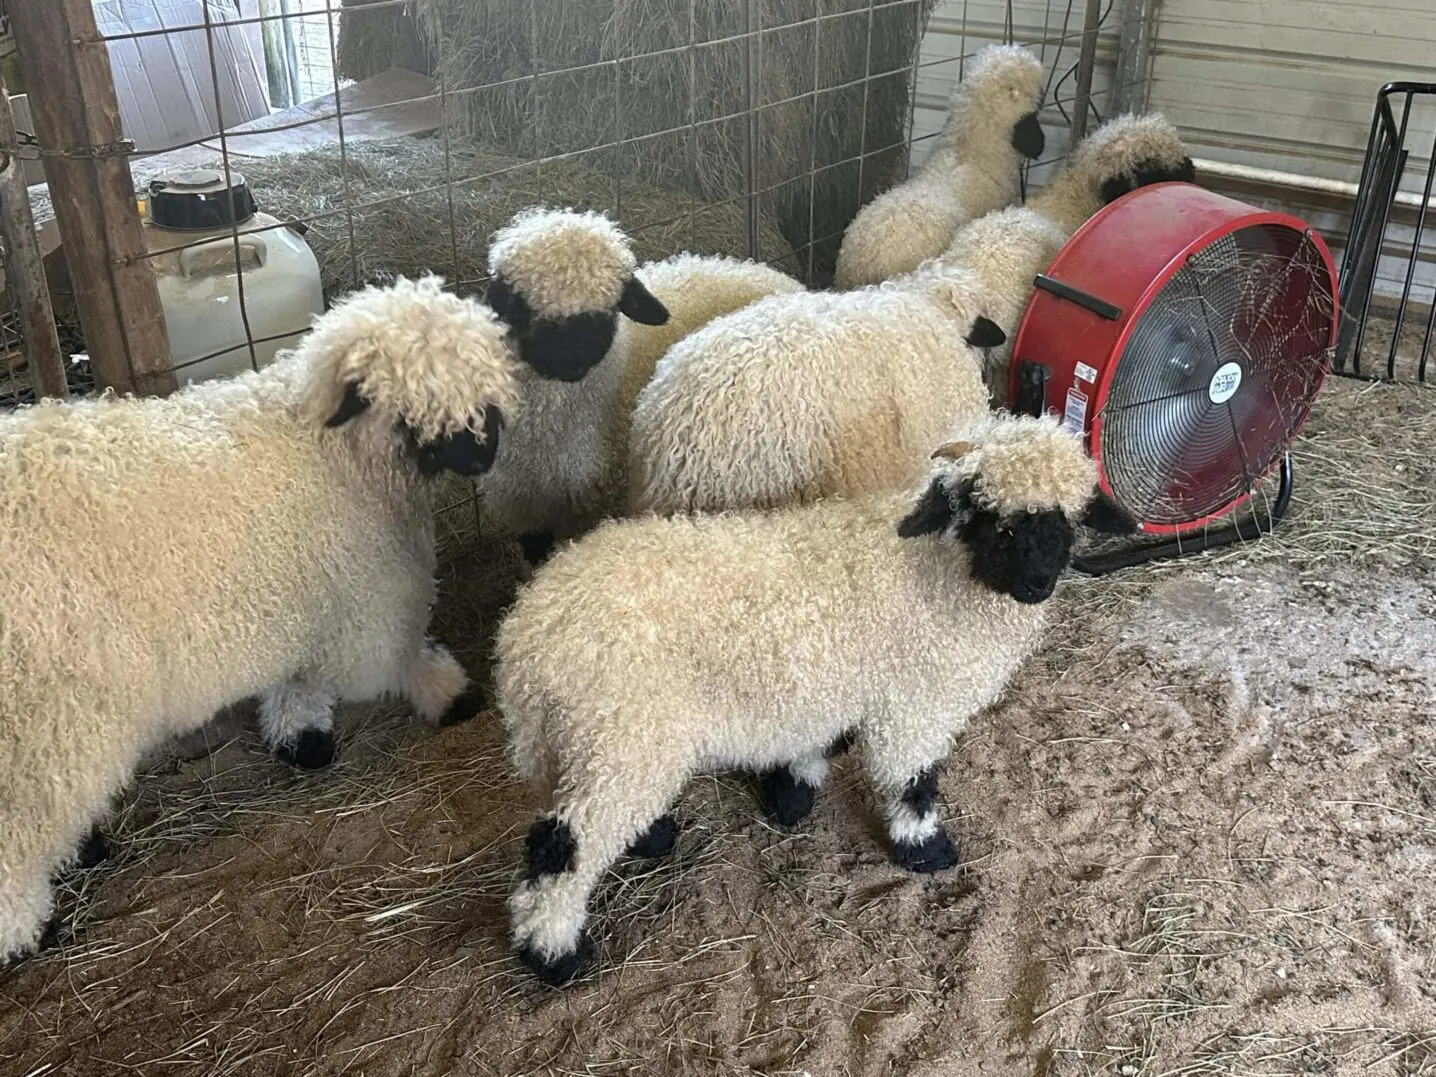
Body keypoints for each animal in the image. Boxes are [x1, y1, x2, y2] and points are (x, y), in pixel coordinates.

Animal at [0, 274, 519, 963]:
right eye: (412, 408)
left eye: (484, 391)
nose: (483, 457)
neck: (330, 451)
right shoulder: (365, 595)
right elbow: (392, 654)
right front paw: (448, 693)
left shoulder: (298, 603)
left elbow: (298, 679)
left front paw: (302, 735)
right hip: (49, 721)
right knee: (20, 834)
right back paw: (26, 929)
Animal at [494, 412, 1138, 984]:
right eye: (985, 515)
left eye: (1067, 518)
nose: (1037, 583)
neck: (937, 575)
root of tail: (527, 642)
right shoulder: (912, 706)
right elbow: (912, 781)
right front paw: (924, 849)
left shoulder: (830, 686)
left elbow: (816, 745)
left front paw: (792, 793)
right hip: (622, 732)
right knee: (561, 846)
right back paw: (555, 955)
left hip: (595, 743)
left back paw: (649, 837)